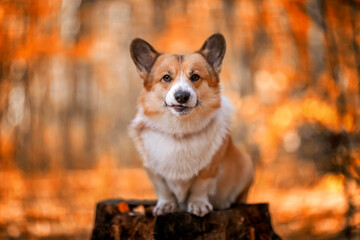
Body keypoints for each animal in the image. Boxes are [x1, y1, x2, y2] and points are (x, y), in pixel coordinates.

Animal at [129, 32, 253, 217]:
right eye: (166, 77)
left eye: (195, 77)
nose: (182, 96)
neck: (179, 131)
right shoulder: (154, 171)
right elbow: (164, 190)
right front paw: (166, 206)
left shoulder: (209, 168)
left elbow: (200, 187)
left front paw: (198, 205)